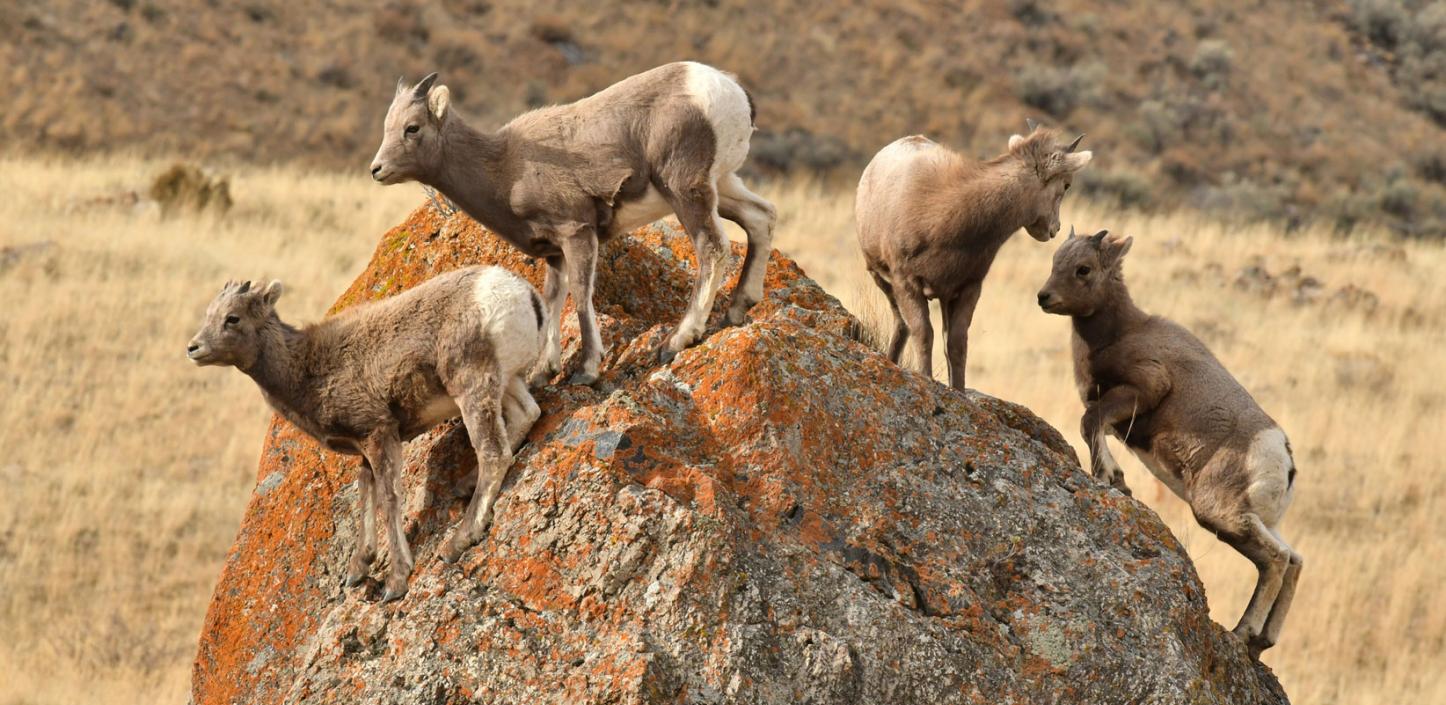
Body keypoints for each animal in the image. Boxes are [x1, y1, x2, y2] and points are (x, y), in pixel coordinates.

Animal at [182, 265, 543, 600]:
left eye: (232, 318)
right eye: (209, 314)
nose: (193, 349)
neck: (305, 370)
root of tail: (520, 293)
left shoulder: (379, 434)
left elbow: (388, 497)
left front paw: (396, 581)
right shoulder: (364, 447)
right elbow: (365, 493)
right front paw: (359, 568)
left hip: (471, 388)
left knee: (493, 453)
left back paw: (457, 541)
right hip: (506, 383)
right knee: (528, 414)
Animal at [373, 62, 780, 384]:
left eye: (412, 128)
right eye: (387, 127)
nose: (377, 170)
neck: (504, 167)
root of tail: (729, 90)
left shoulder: (578, 234)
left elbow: (582, 297)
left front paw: (586, 371)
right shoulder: (555, 252)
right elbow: (553, 299)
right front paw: (543, 372)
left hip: (686, 191)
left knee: (712, 247)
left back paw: (676, 342)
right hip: (722, 186)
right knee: (762, 218)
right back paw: (737, 309)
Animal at [856, 117, 1087, 387]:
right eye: (1066, 185)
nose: (1054, 228)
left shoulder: (967, 287)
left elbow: (956, 344)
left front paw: (959, 390)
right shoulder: (906, 282)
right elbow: (923, 333)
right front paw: (926, 379)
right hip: (881, 279)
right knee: (901, 323)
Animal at [1035, 229, 1307, 655]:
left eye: (1084, 269)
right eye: (1055, 261)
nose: (1044, 297)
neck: (1121, 333)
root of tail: (1282, 454)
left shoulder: (1141, 391)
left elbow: (1088, 424)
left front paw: (1113, 479)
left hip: (1218, 514)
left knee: (1276, 560)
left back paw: (1243, 632)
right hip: (1257, 520)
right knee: (1294, 560)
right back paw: (1261, 642)